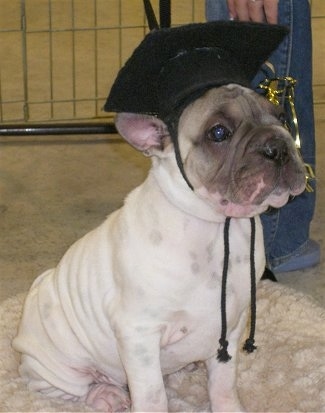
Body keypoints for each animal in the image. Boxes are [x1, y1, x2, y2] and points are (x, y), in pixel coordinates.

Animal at [12, 22, 306, 412]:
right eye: (218, 133)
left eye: (279, 117)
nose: (277, 147)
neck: (215, 227)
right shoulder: (139, 333)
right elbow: (152, 395)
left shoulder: (232, 323)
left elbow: (223, 382)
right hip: (55, 363)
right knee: (68, 386)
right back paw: (104, 393)